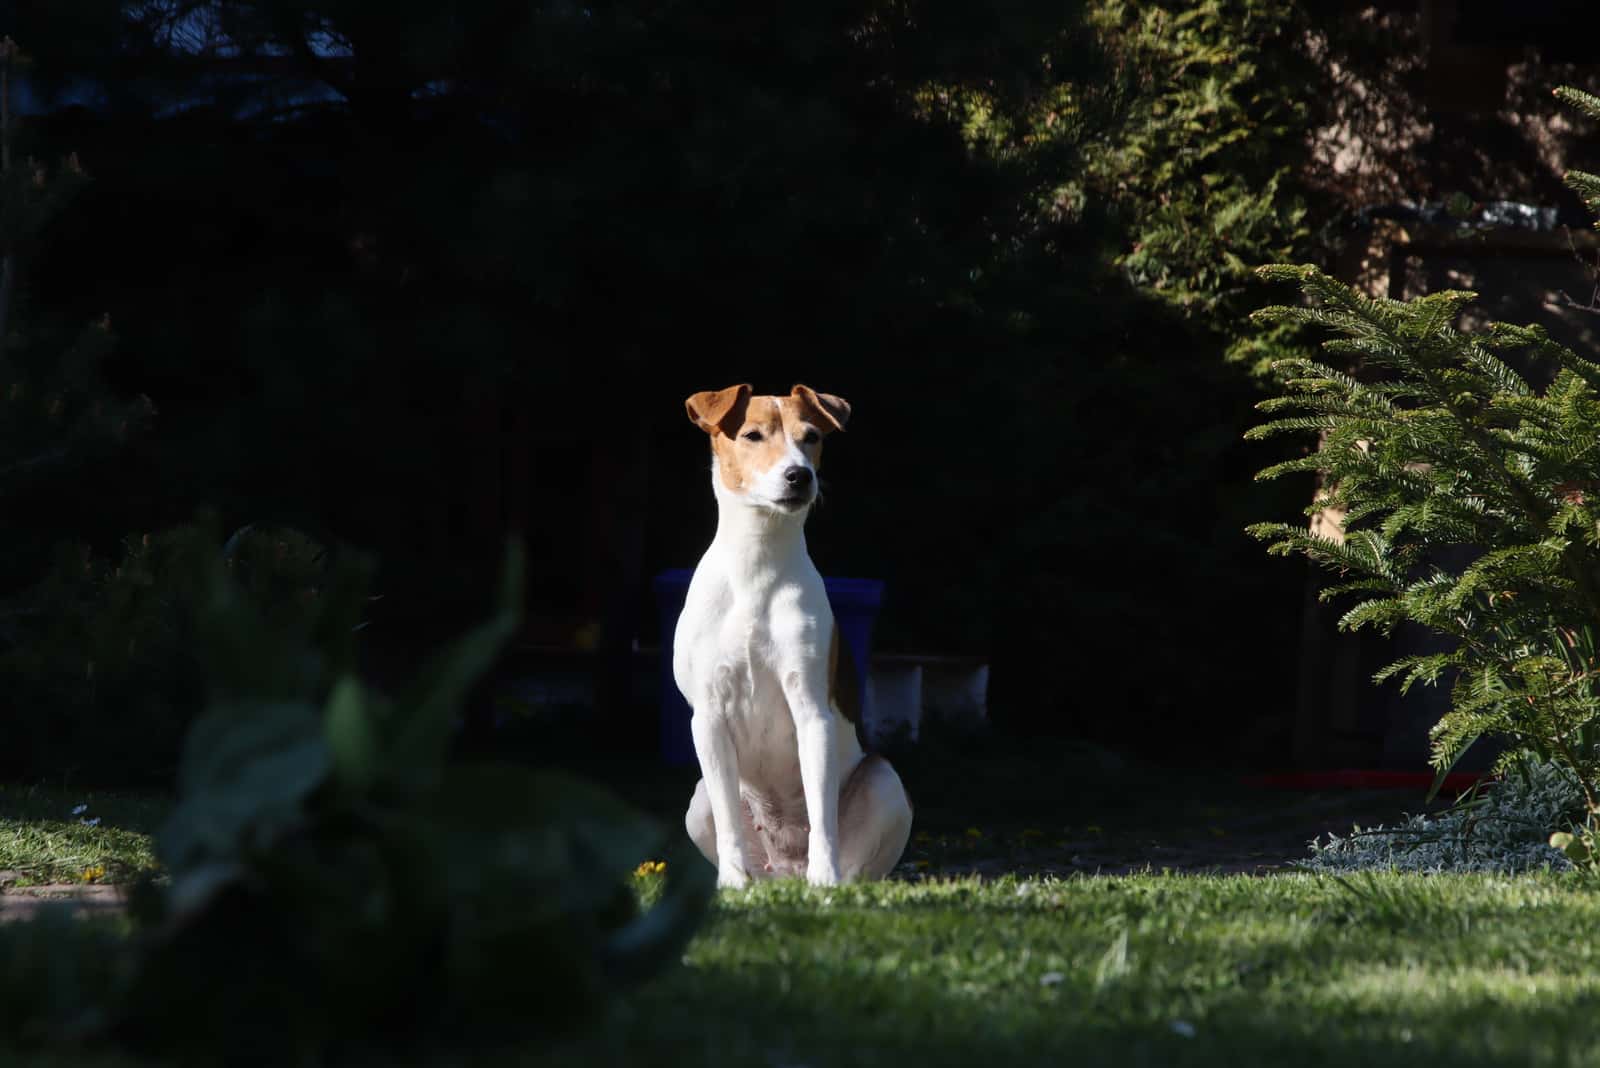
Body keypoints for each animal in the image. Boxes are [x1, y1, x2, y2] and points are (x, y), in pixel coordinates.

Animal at [675, 388, 915, 888]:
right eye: (752, 435)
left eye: (812, 437)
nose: (799, 475)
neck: (756, 563)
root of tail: (786, 871)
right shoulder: (707, 717)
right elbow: (729, 822)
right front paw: (731, 881)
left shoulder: (811, 712)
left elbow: (821, 813)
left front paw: (824, 879)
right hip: (699, 799)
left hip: (885, 781)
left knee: (856, 857)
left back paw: (829, 881)